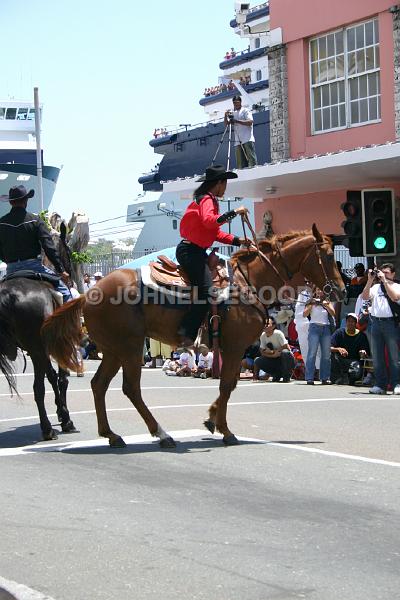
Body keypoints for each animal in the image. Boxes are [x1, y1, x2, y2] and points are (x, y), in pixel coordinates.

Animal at [41, 227, 344, 448]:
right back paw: (161, 434)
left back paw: (112, 435)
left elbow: (228, 385)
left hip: (115, 350)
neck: (249, 282)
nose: (340, 290)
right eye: (329, 256)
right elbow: (226, 386)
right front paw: (224, 429)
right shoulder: (234, 347)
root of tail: (87, 294)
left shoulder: (231, 349)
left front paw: (212, 420)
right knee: (130, 388)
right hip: (129, 347)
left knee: (99, 385)